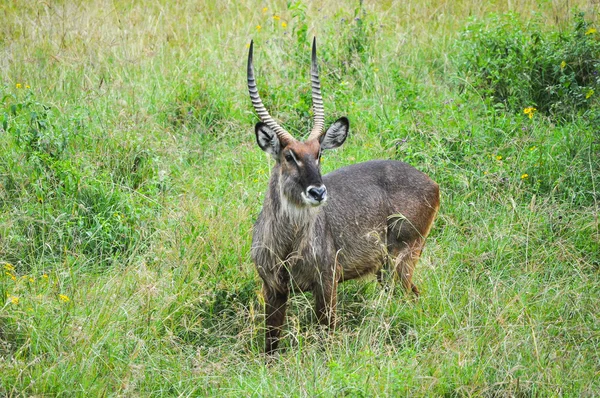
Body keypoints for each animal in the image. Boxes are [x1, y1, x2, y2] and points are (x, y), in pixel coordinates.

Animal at [248, 38, 440, 354]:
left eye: (319, 154)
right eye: (289, 156)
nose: (318, 191)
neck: (288, 245)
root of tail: (432, 183)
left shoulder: (327, 281)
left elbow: (327, 337)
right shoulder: (272, 288)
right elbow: (270, 346)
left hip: (403, 257)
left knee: (414, 297)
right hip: (386, 269)